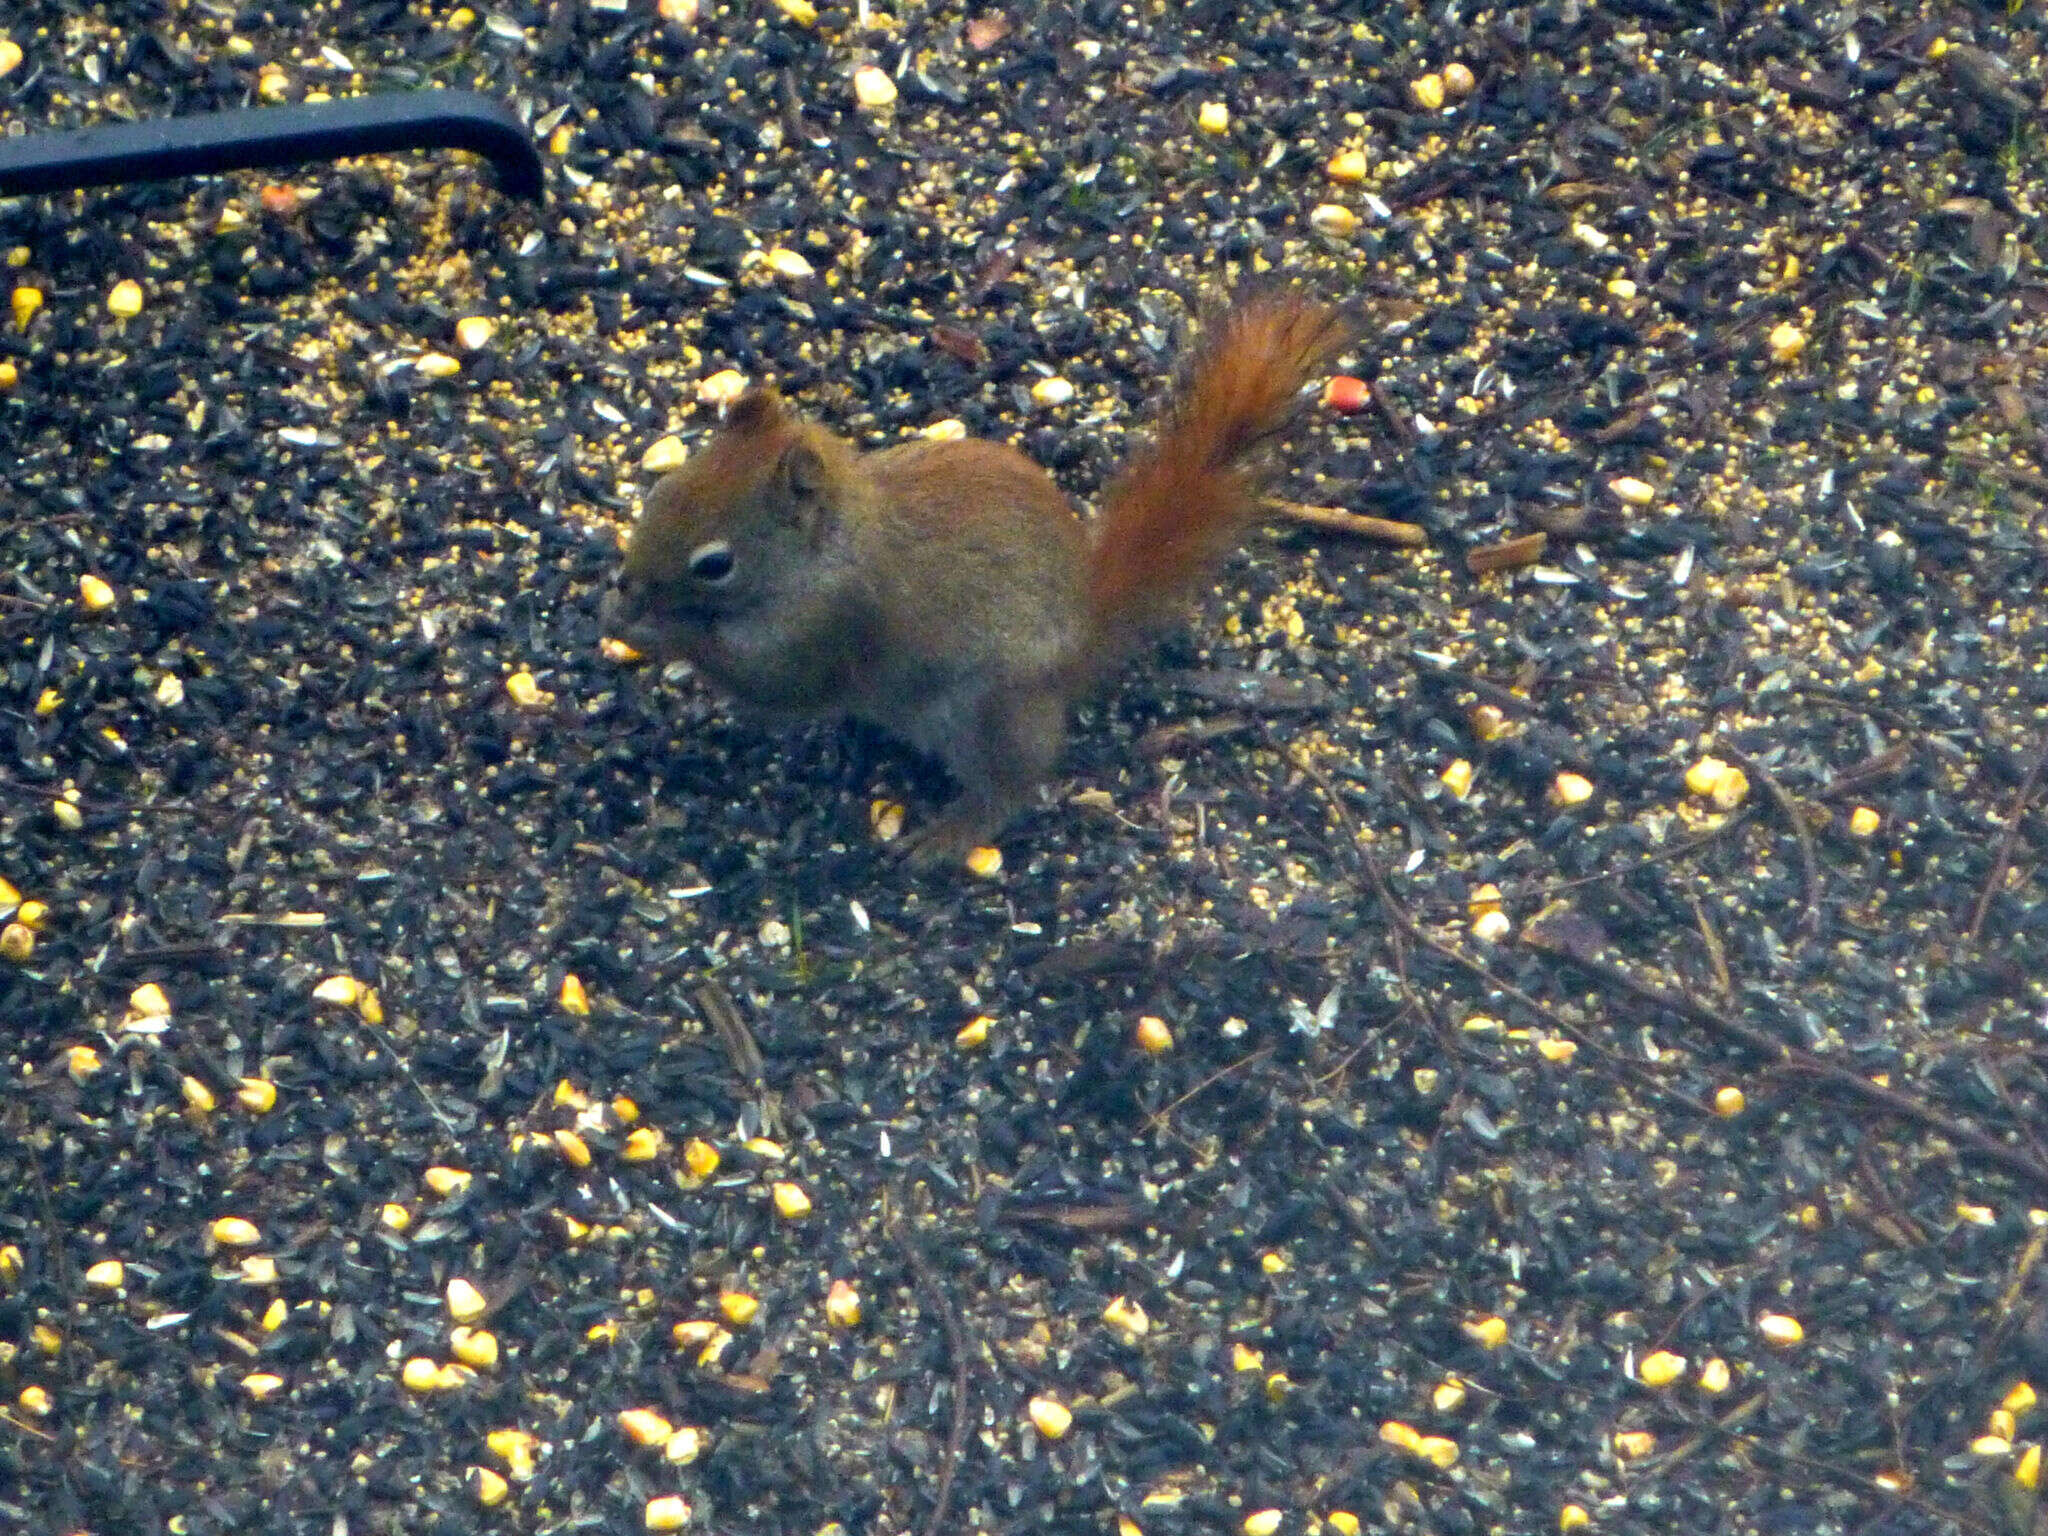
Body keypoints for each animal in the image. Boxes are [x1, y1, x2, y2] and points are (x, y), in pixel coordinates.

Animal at [598, 288, 1359, 868]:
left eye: (715, 565)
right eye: (663, 490)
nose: (630, 584)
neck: (829, 550)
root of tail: (1082, 645)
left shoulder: (833, 625)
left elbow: (773, 683)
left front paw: (659, 632)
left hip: (986, 713)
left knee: (1011, 785)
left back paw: (948, 834)